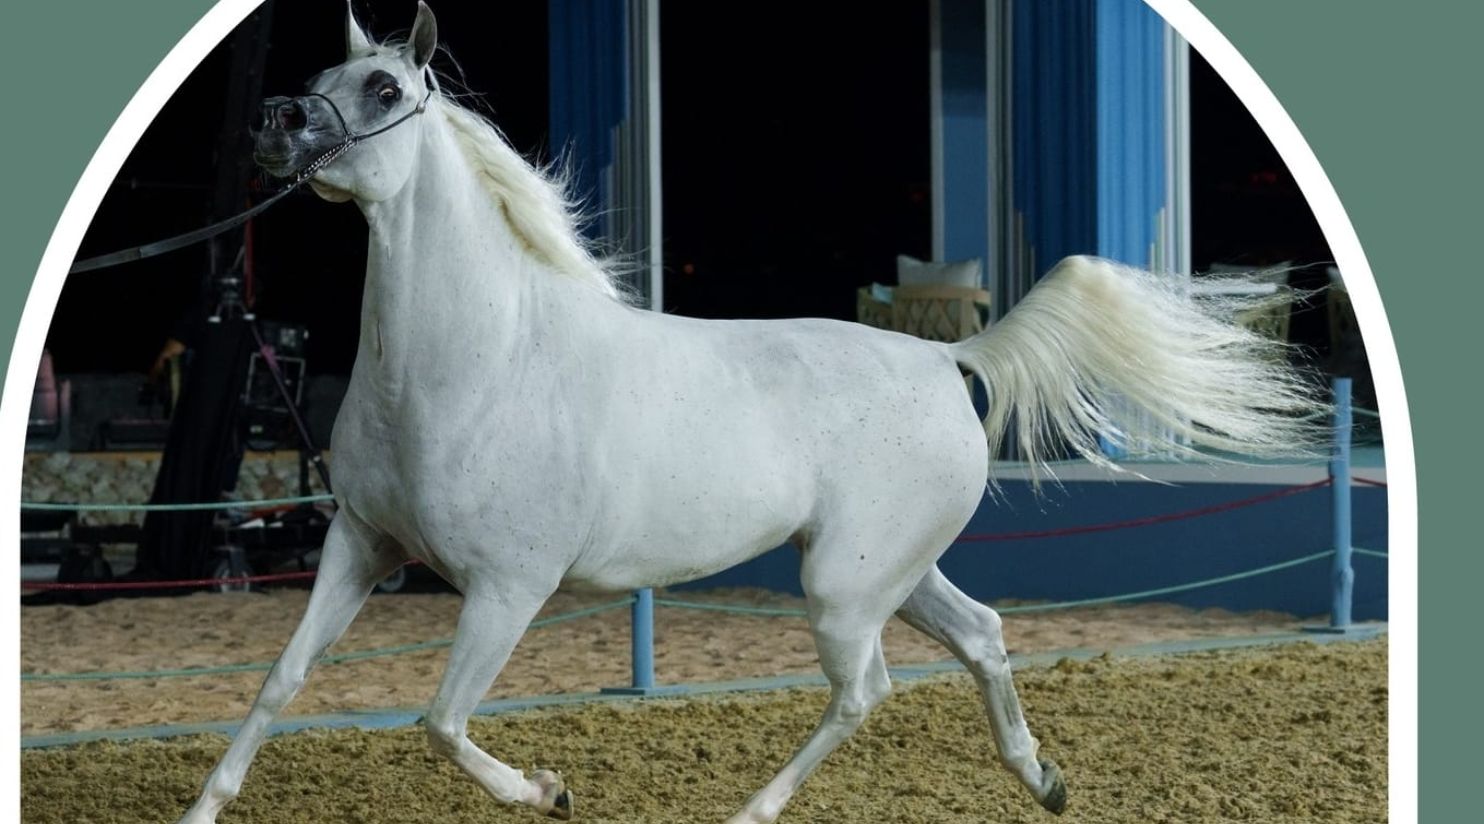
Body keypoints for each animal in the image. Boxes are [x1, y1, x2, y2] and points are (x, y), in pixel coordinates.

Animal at [175, 4, 1322, 822]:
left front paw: (550, 790)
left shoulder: (507, 587)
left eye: (379, 87)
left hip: (843, 588)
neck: (475, 366)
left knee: (865, 690)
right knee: (982, 634)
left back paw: (751, 811)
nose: (275, 124)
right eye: (319, 82)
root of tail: (945, 355)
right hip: (889, 572)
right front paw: (201, 810)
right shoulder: (361, 546)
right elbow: (281, 679)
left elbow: (442, 720)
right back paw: (1041, 779)